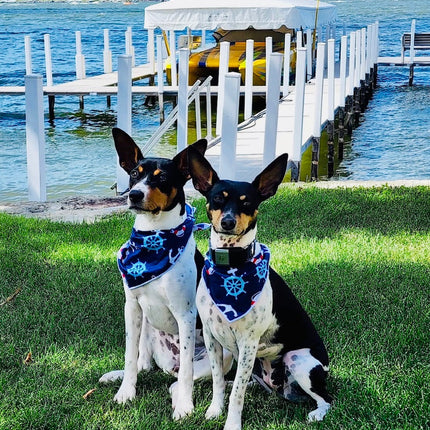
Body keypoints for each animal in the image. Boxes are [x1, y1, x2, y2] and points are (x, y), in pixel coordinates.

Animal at [98, 128, 210, 420]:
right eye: (134, 174)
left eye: (163, 178)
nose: (135, 195)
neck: (153, 239)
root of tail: (169, 363)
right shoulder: (132, 307)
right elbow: (129, 356)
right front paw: (126, 392)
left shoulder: (186, 314)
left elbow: (186, 375)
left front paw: (185, 406)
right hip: (147, 325)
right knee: (143, 364)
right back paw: (117, 375)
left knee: (182, 374)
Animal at [188, 149, 332, 430]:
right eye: (217, 198)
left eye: (247, 203)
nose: (228, 222)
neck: (230, 266)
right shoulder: (212, 338)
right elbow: (219, 380)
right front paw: (214, 410)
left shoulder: (248, 343)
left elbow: (237, 395)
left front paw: (232, 424)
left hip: (298, 361)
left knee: (327, 398)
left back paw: (318, 413)